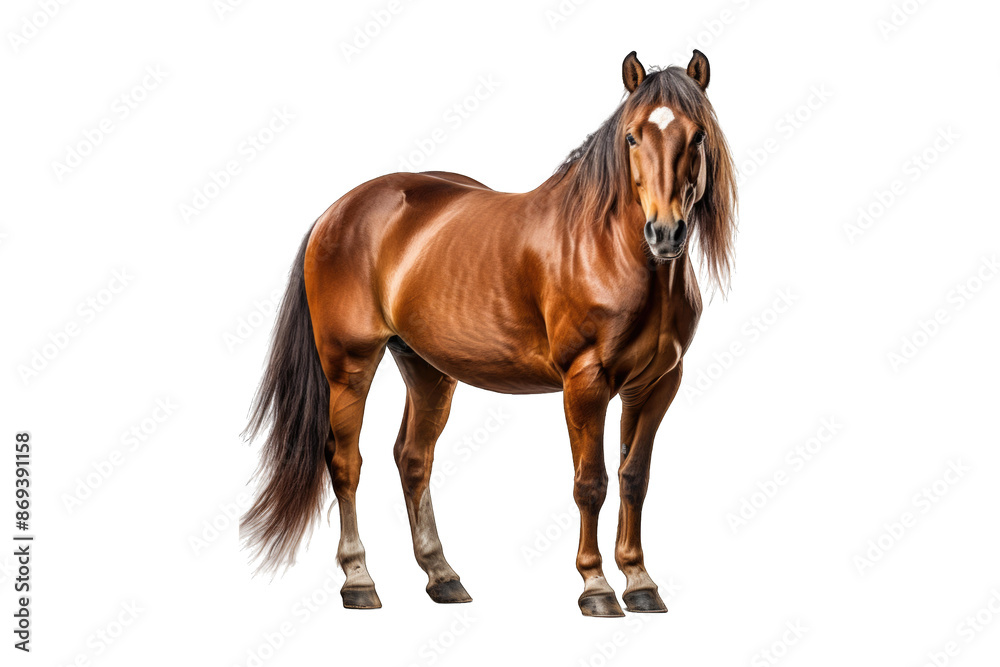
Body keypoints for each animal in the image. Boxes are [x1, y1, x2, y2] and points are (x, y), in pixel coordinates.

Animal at [241, 49, 737, 617]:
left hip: (427, 368)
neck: (606, 246)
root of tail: (336, 211)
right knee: (345, 462)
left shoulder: (655, 385)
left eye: (698, 136)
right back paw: (359, 579)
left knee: (413, 459)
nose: (665, 233)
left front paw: (639, 581)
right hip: (349, 365)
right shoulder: (585, 382)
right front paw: (596, 586)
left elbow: (634, 479)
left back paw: (442, 575)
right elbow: (590, 483)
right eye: (633, 136)